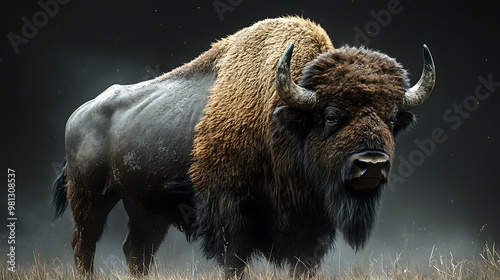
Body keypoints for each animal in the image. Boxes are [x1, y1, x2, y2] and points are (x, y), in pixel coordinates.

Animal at [51, 16, 434, 276]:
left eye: (391, 118)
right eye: (330, 116)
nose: (372, 164)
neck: (283, 118)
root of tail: (78, 115)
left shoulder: (312, 229)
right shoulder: (231, 216)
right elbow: (234, 261)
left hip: (146, 210)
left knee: (136, 251)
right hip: (90, 199)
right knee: (84, 244)